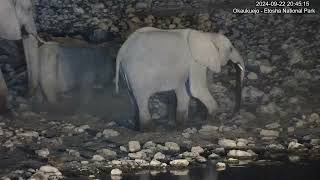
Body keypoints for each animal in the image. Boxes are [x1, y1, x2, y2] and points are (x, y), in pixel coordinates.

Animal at [115, 26, 245, 130]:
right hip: (137, 73)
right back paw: (149, 130)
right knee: (142, 99)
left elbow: (185, 91)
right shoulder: (195, 61)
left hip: (126, 72)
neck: (207, 35)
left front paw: (182, 125)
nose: (231, 115)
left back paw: (137, 127)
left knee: (133, 98)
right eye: (231, 49)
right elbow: (196, 90)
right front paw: (215, 122)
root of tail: (121, 51)